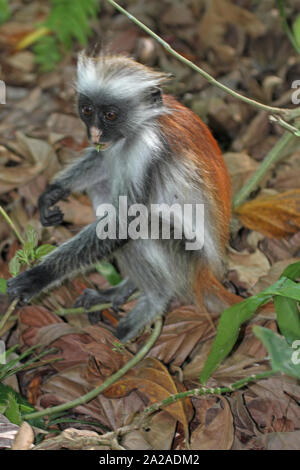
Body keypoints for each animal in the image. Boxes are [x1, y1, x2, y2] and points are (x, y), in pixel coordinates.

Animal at [7, 53, 232, 344]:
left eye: (110, 115)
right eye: (87, 110)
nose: (94, 133)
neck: (141, 126)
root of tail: (206, 273)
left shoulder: (147, 147)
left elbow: (124, 223)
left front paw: (39, 276)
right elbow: (102, 161)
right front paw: (53, 191)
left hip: (185, 254)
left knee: (143, 225)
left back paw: (154, 299)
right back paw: (125, 288)